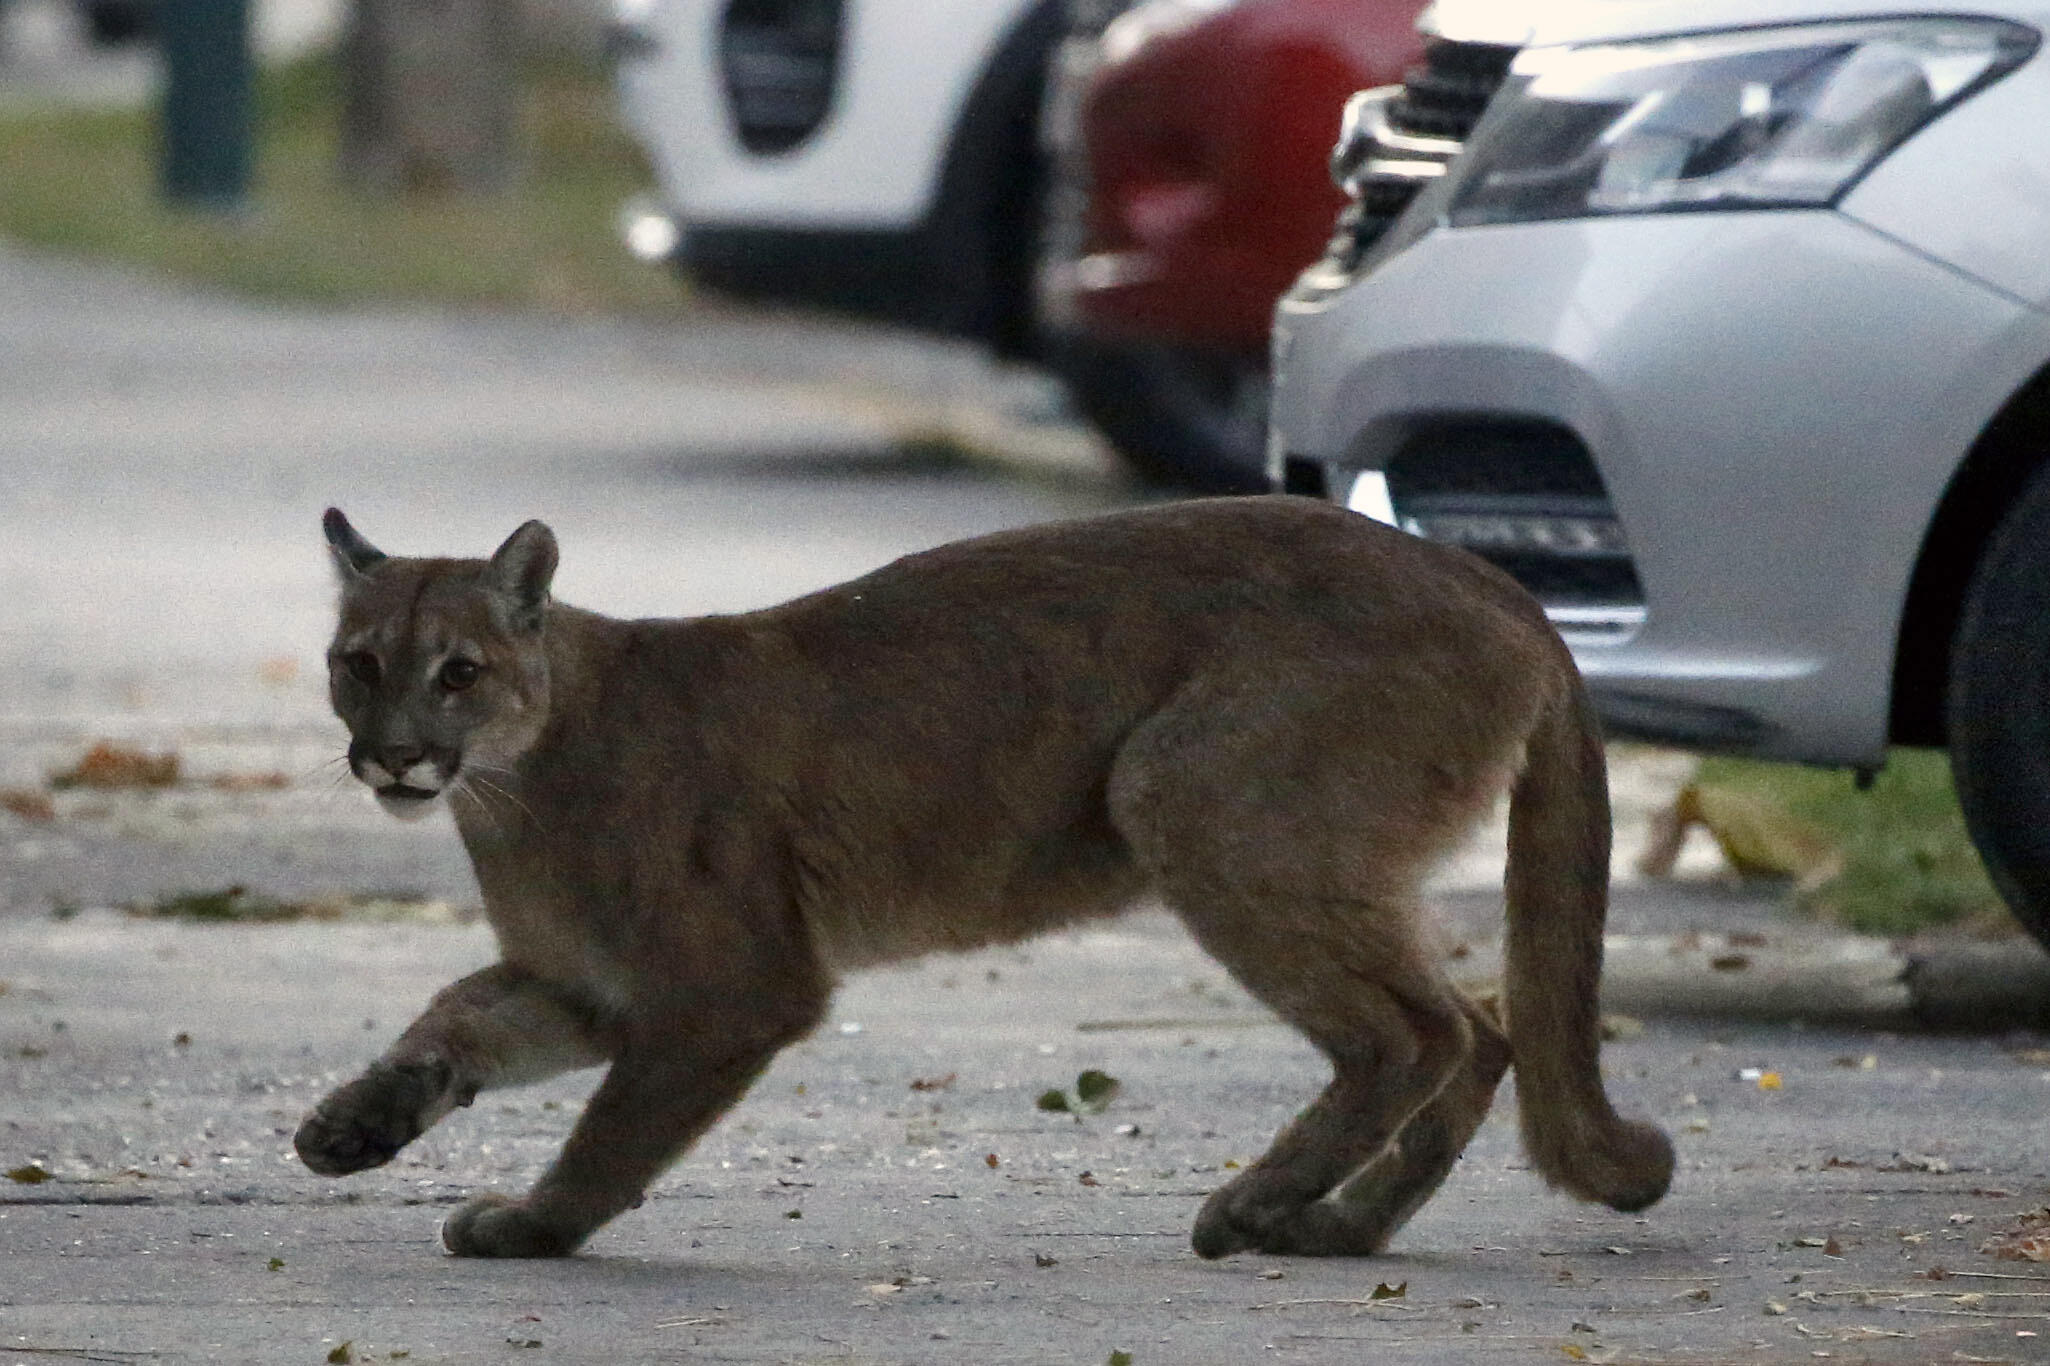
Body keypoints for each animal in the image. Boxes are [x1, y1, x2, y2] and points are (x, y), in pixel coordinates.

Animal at [299, 498, 1664, 1255]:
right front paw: (355, 1124)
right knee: (1484, 1026)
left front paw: (537, 1226)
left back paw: (1257, 1208)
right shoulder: (591, 982)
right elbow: (456, 1017)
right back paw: (1337, 1227)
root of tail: (1498, 582)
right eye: (357, 662)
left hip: (1187, 792)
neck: (512, 786)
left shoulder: (729, 988)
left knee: (1414, 1032)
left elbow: (614, 1128)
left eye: (458, 671)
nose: (393, 753)